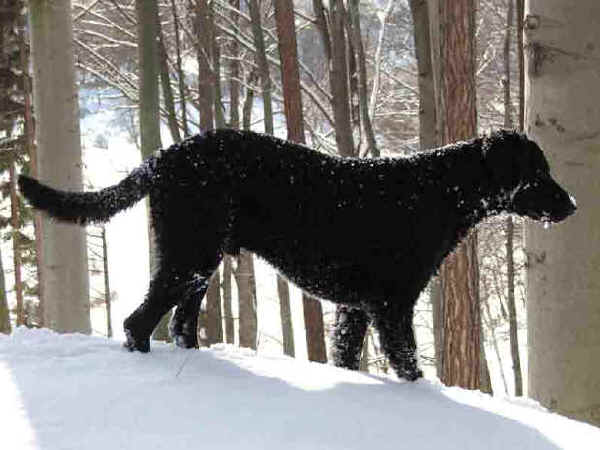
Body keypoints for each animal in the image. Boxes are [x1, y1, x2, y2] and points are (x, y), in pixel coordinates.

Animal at [17, 127, 576, 380]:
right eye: (539, 172)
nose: (572, 204)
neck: (435, 192)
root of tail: (164, 155)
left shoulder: (356, 308)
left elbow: (348, 357)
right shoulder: (392, 306)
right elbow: (408, 364)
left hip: (199, 262)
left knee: (179, 322)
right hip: (189, 255)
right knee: (138, 323)